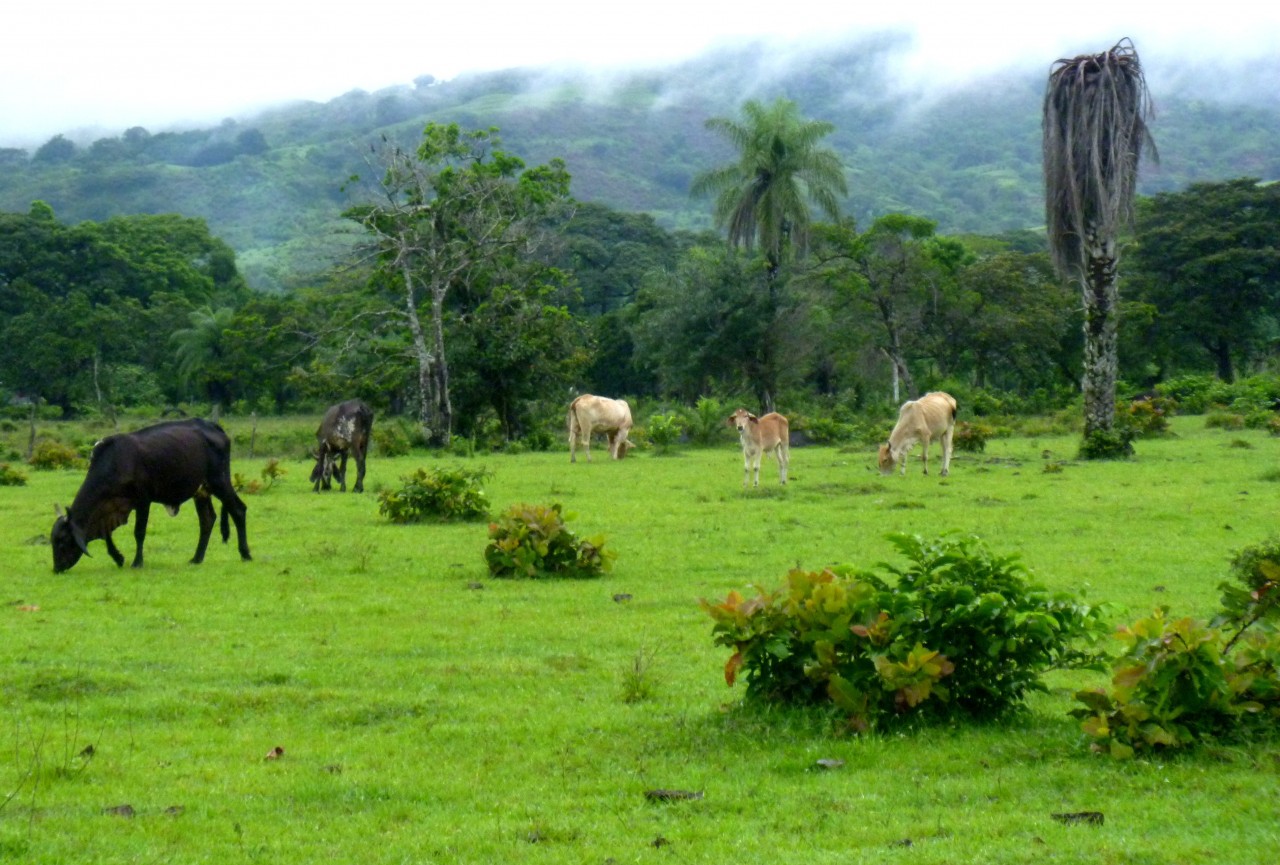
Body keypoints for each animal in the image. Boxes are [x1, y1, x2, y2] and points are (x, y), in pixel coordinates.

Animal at [51, 419, 252, 573]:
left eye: (62, 541)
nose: (57, 568)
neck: (116, 461)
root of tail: (211, 425)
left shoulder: (143, 500)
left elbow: (139, 532)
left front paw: (137, 562)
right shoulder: (109, 507)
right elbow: (107, 532)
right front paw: (118, 557)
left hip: (219, 481)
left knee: (238, 510)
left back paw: (245, 554)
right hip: (201, 491)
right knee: (207, 520)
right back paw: (197, 558)